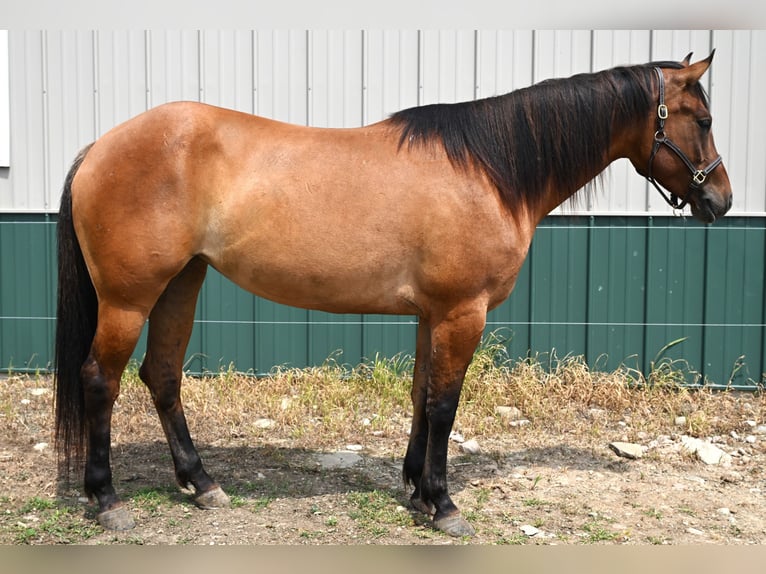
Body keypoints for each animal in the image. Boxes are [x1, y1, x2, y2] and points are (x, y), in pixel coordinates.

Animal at [54, 52, 731, 537]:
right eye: (702, 121)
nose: (720, 200)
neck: (489, 170)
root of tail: (100, 147)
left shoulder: (434, 315)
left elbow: (420, 395)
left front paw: (415, 488)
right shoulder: (463, 312)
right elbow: (444, 405)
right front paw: (444, 504)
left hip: (181, 283)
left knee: (162, 376)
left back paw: (202, 484)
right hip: (128, 298)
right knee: (100, 380)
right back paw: (107, 499)